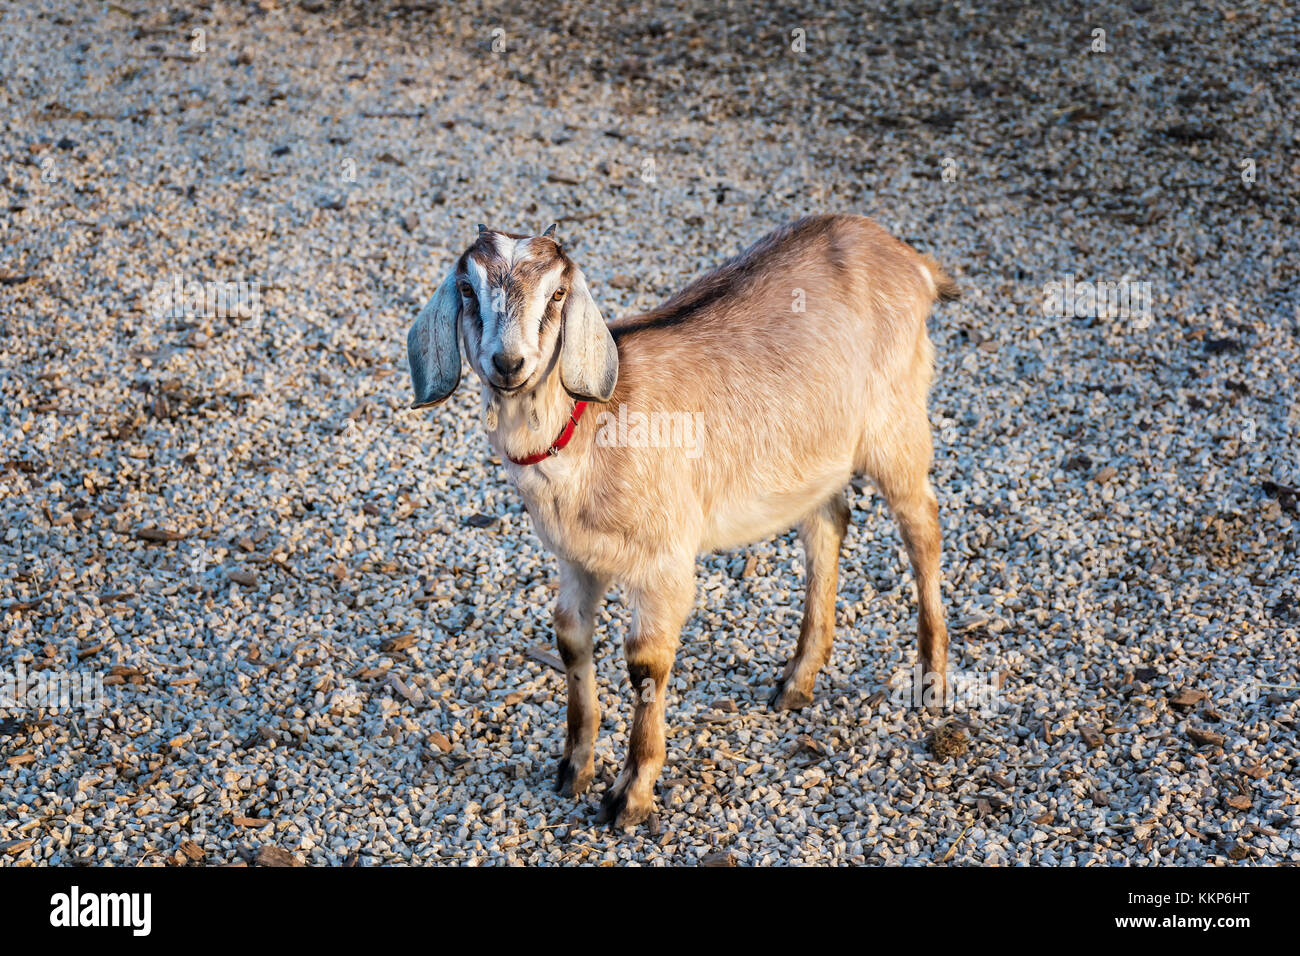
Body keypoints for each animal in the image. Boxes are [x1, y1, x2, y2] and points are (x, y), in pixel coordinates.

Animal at [405, 213, 956, 827]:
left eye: (557, 294)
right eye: (468, 290)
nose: (508, 363)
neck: (591, 429)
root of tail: (910, 259)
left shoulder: (663, 561)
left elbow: (645, 664)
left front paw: (630, 795)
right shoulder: (576, 557)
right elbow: (570, 638)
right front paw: (574, 769)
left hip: (896, 426)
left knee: (924, 530)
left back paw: (932, 682)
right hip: (814, 454)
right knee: (829, 522)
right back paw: (797, 682)